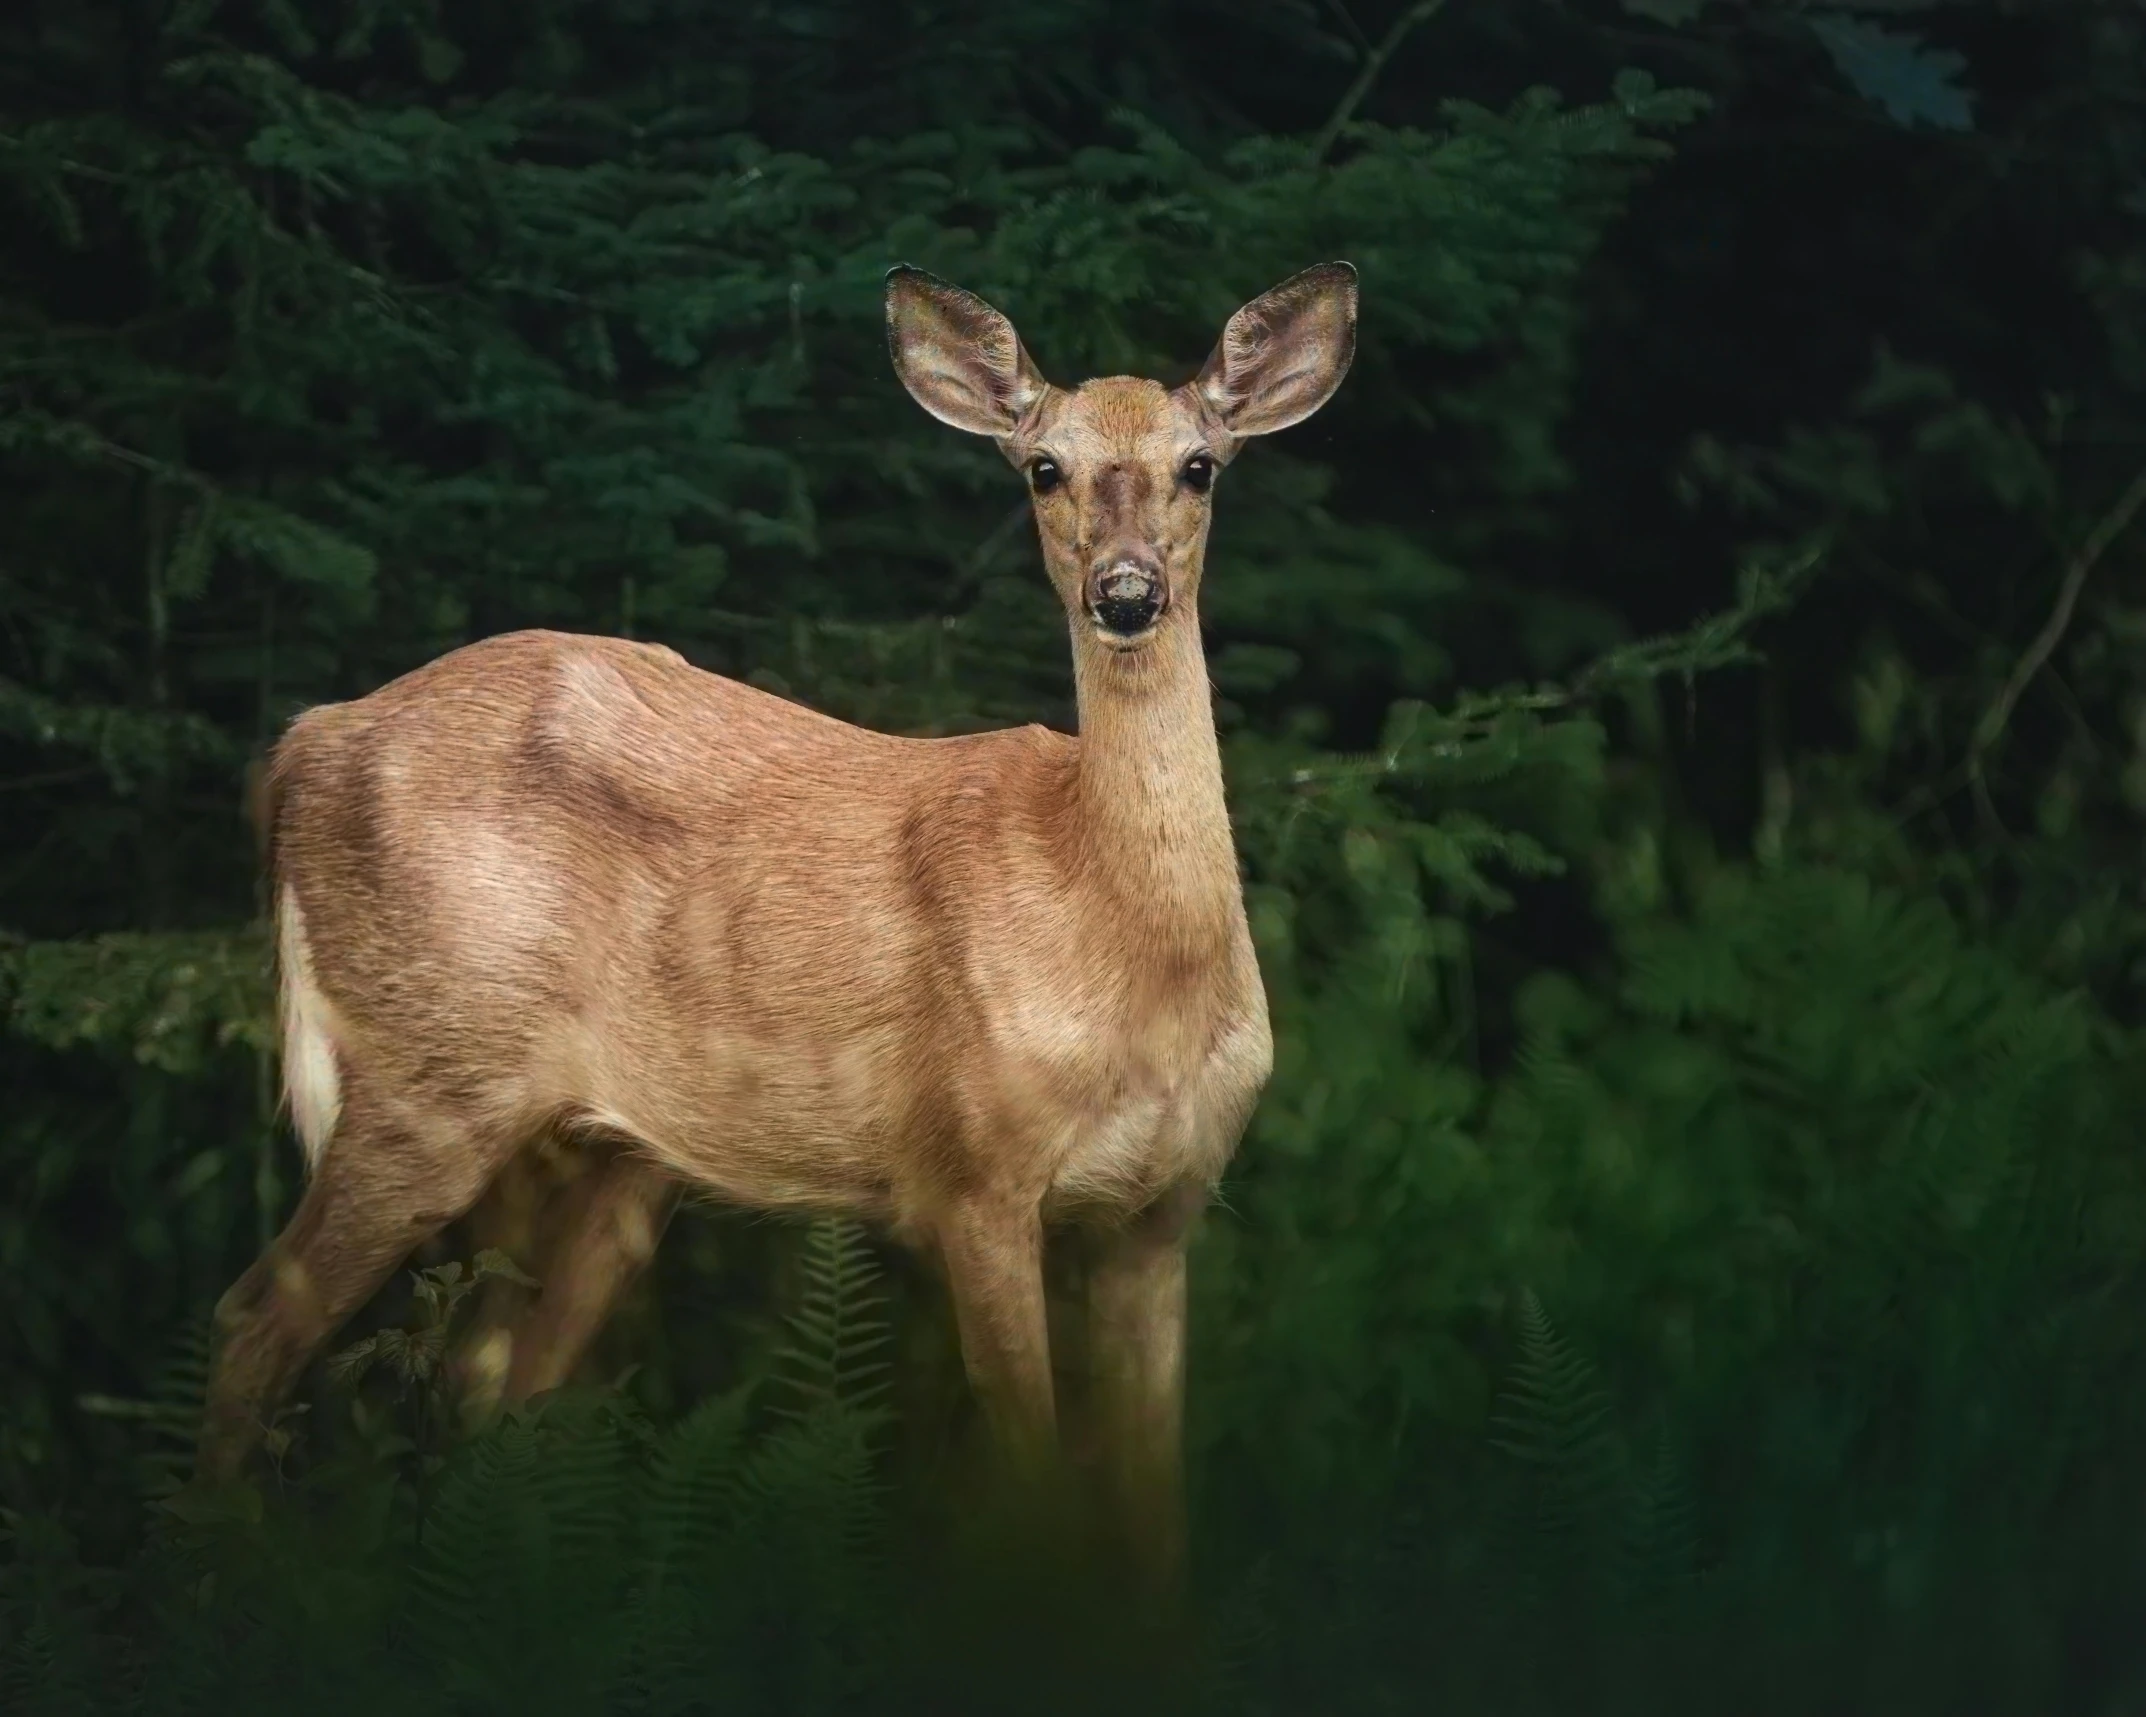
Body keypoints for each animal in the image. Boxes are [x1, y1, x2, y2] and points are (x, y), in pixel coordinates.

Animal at [193, 258, 1347, 1596]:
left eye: (1200, 465)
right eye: (1041, 468)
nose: (1124, 593)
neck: (1127, 949)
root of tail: (307, 743)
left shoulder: (1161, 1213)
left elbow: (1156, 1529)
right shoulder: (972, 1172)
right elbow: (1038, 1499)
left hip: (594, 1159)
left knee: (490, 1385)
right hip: (423, 1080)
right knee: (251, 1325)